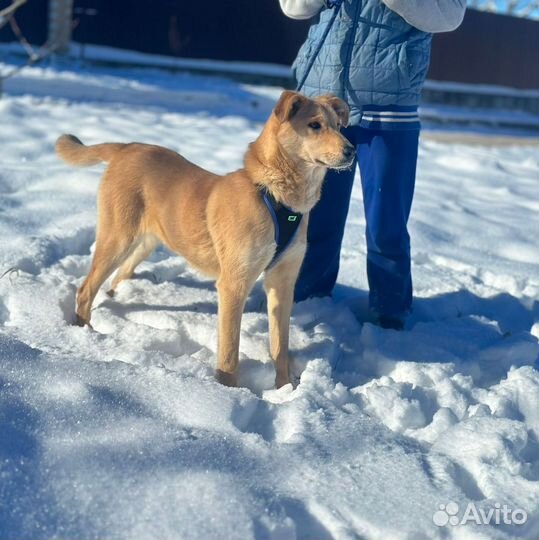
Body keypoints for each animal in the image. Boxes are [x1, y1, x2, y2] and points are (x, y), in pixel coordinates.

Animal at [57, 92, 356, 388]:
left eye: (338, 126)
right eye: (315, 125)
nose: (351, 151)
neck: (274, 195)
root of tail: (127, 147)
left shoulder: (282, 283)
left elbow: (280, 347)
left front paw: (284, 389)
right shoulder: (233, 284)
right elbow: (229, 353)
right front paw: (228, 391)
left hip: (145, 242)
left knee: (118, 276)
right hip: (118, 238)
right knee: (85, 289)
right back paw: (83, 331)